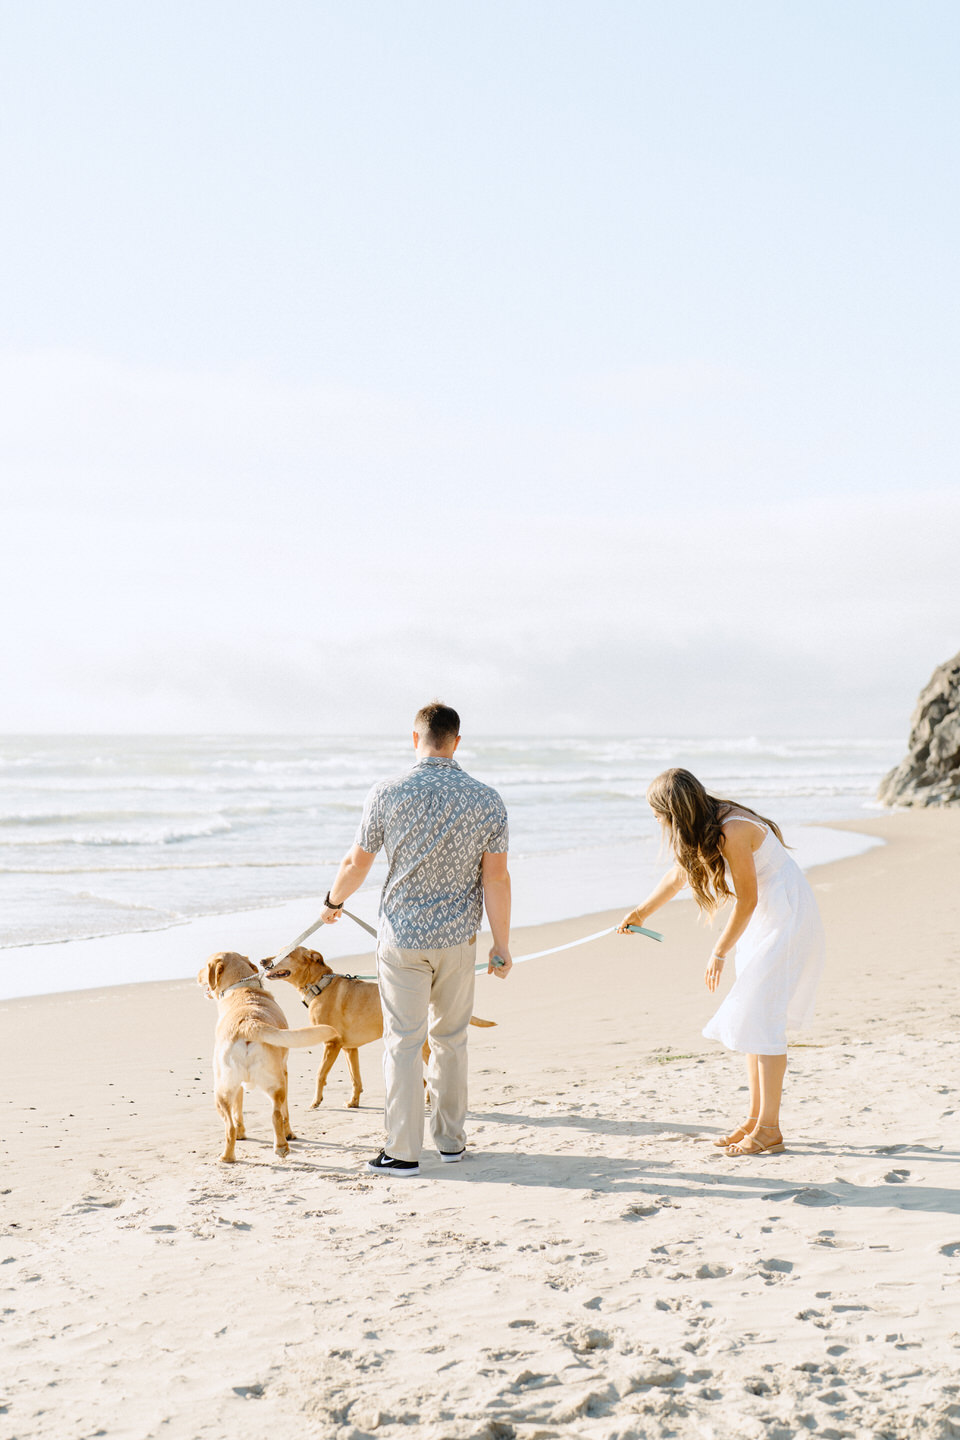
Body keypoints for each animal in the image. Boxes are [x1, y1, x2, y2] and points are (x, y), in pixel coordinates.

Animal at [197, 950, 339, 1163]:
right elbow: (284, 1113)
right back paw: (281, 1146)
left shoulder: (241, 1086)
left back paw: (228, 1156)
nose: (197, 976)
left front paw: (242, 1133)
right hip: (274, 1084)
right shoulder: (284, 1073)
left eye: (205, 966)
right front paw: (288, 1134)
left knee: (232, 1125)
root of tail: (247, 1024)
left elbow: (238, 1113)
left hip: (221, 1092)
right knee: (277, 1114)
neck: (243, 989)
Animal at [263, 950, 495, 1105]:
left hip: (422, 1046)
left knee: (434, 1073)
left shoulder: (331, 1044)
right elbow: (355, 1078)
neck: (320, 986)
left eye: (286, 954)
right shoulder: (349, 1049)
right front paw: (354, 1102)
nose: (263, 960)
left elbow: (320, 1074)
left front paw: (316, 1101)